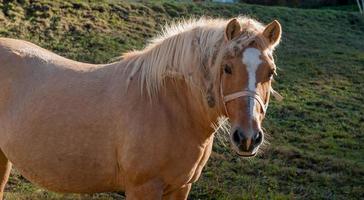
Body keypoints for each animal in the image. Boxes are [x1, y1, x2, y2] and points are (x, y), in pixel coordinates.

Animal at [0, 16, 282, 199]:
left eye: (270, 72)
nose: (248, 138)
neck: (168, 105)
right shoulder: (142, 188)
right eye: (227, 68)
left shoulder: (180, 187)